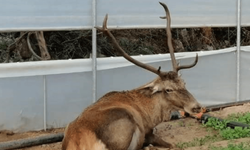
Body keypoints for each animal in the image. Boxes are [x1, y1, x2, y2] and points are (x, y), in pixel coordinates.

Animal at [62, 2, 203, 150]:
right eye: (168, 89)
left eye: (184, 83)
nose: (196, 107)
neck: (152, 115)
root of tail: (77, 142)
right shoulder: (147, 131)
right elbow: (170, 144)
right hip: (123, 126)